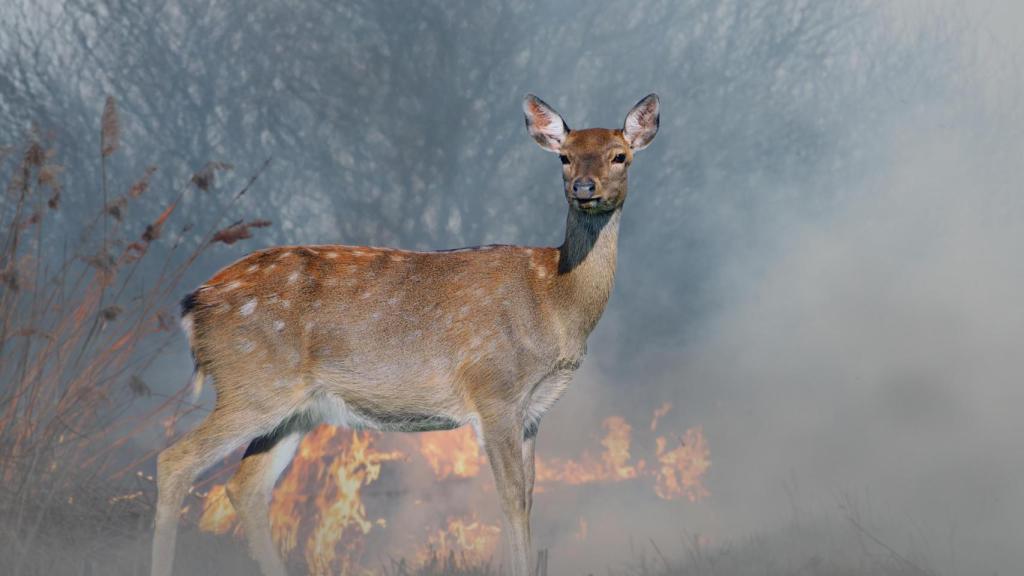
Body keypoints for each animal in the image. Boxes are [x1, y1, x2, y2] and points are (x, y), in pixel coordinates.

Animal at [151, 93, 659, 576]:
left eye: (619, 156)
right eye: (564, 158)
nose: (583, 188)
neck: (555, 300)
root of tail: (193, 305)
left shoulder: (533, 411)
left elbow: (530, 498)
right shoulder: (494, 391)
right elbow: (512, 501)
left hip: (295, 408)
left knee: (247, 486)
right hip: (253, 382)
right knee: (175, 460)